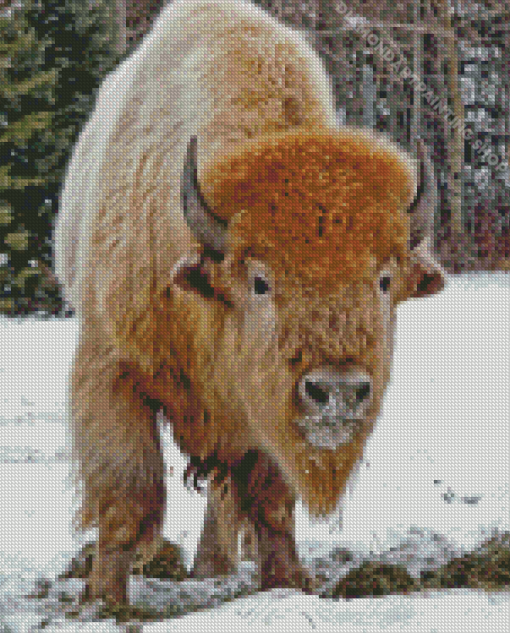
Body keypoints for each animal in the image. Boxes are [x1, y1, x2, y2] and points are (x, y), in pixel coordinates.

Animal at [54, 0, 446, 604]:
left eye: (384, 280)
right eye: (260, 281)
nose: (337, 391)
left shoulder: (265, 413)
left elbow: (270, 500)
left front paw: (286, 582)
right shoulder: (113, 371)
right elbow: (126, 496)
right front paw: (104, 598)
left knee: (224, 494)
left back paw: (213, 565)